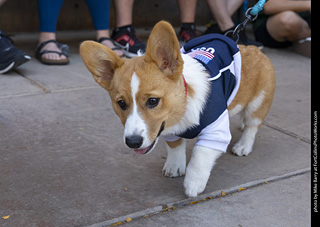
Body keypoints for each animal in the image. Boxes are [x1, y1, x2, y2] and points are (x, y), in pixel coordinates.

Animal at [79, 21, 276, 199]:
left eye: (153, 101)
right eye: (121, 104)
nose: (133, 142)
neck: (183, 106)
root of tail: (254, 49)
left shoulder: (215, 131)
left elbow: (200, 155)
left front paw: (193, 184)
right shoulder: (170, 132)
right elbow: (175, 147)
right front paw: (174, 167)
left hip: (258, 102)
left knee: (252, 125)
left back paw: (243, 145)